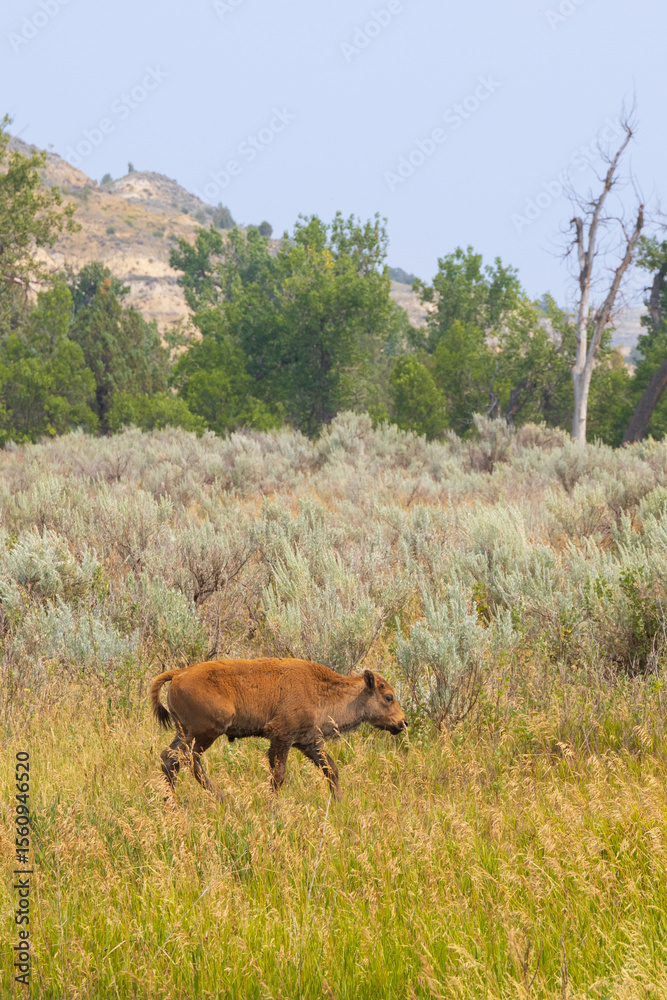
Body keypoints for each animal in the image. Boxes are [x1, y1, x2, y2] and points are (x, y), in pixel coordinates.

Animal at [150, 657, 408, 799]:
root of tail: (179, 673)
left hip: (184, 732)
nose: (403, 722)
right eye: (388, 697)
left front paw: (338, 803)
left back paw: (172, 804)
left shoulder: (308, 742)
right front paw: (271, 806)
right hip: (205, 733)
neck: (319, 689)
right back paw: (222, 798)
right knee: (189, 761)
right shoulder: (282, 738)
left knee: (170, 759)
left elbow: (331, 769)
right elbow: (279, 775)